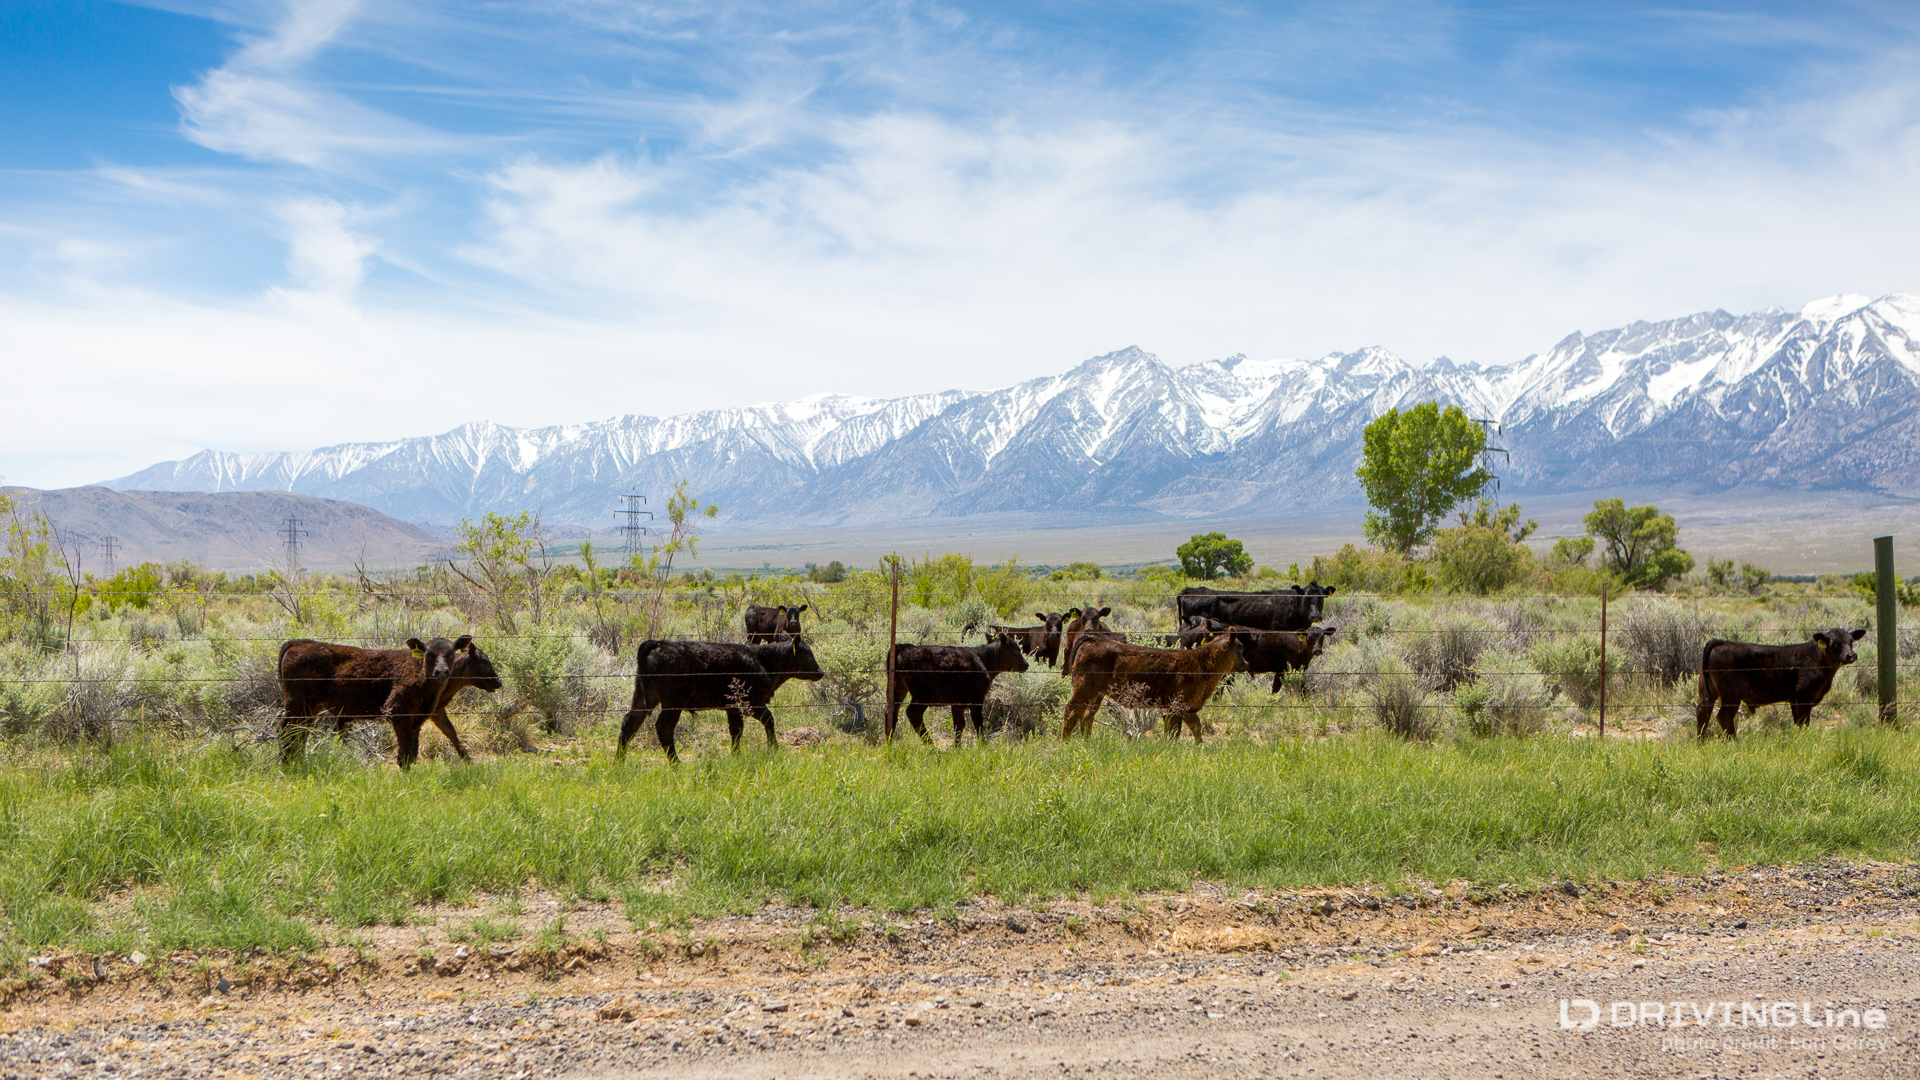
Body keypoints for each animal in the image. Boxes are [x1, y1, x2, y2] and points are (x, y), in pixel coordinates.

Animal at [277, 635, 503, 769]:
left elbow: (422, 746)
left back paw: (296, 762)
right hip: (298, 706)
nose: (498, 681)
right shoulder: (399, 713)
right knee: (287, 731)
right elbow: (405, 752)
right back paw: (288, 765)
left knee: (299, 734)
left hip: (310, 710)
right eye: (484, 661)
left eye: (451, 653)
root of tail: (297, 643)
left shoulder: (422, 717)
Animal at [617, 636, 826, 762]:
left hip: (643, 696)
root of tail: (659, 643)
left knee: (630, 722)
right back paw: (676, 764)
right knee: (663, 728)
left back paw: (619, 761)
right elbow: (769, 719)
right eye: (808, 655)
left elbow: (736, 731)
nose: (820, 672)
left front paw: (736, 755)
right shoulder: (751, 703)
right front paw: (773, 748)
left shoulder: (733, 708)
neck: (763, 660)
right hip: (673, 702)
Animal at [886, 633, 1031, 745]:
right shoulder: (976, 698)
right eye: (1015, 652)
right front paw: (983, 745)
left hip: (897, 688)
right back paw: (931, 745)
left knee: (891, 712)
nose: (1026, 665)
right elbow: (977, 722)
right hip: (923, 694)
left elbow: (959, 725)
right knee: (913, 713)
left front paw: (957, 747)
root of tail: (904, 647)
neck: (983, 659)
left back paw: (889, 744)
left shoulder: (957, 702)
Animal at [1059, 630, 1249, 741]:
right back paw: (1066, 741)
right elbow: (1175, 731)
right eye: (1239, 648)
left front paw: (1199, 746)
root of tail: (1092, 640)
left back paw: (1087, 740)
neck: (1200, 661)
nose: (1247, 663)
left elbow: (1195, 726)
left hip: (1096, 695)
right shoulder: (1176, 708)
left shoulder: (1185, 708)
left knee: (1086, 716)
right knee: (1071, 711)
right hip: (1083, 690)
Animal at [1695, 628, 1866, 739]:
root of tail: (1722, 642)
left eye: (1851, 641)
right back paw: (1733, 741)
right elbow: (1803, 721)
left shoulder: (1795, 699)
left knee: (1703, 711)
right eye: (1833, 643)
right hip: (1731, 695)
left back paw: (1700, 742)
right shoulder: (1803, 696)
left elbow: (1798, 722)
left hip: (1707, 689)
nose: (1851, 655)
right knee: (1723, 716)